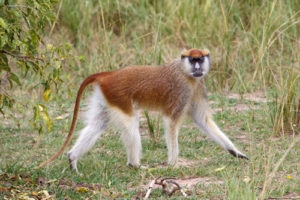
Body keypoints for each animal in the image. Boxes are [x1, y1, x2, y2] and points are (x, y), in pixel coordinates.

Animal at [37, 48, 248, 173]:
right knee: (131, 122)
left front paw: (235, 151)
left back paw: (72, 159)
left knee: (99, 123)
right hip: (118, 96)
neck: (184, 71)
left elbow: (202, 119)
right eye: (193, 59)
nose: (197, 67)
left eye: (200, 59)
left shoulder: (197, 86)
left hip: (107, 95)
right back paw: (135, 164)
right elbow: (171, 121)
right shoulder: (181, 90)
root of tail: (109, 74)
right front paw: (173, 164)